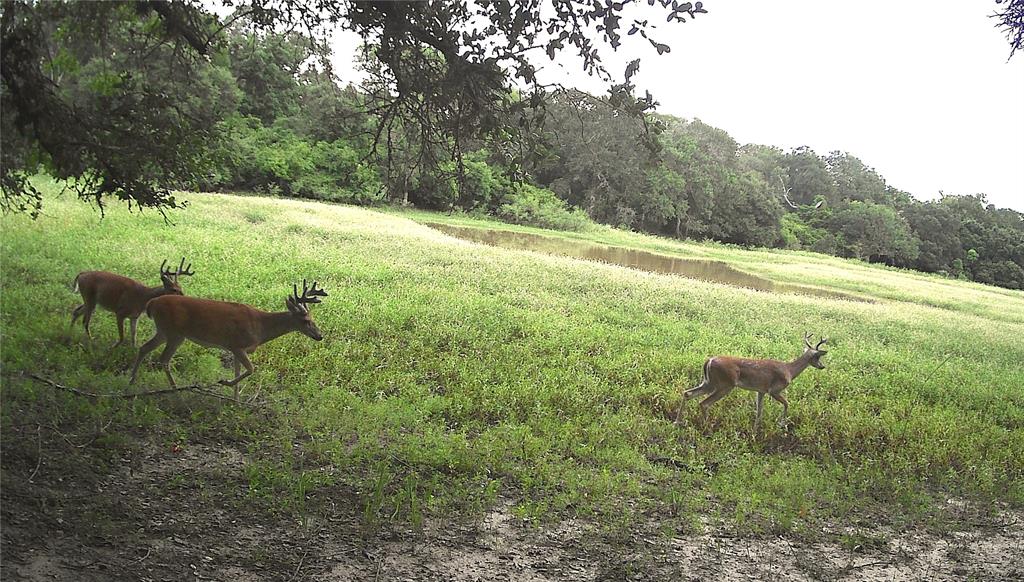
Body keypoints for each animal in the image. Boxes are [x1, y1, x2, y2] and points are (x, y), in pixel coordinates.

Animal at [128, 278, 327, 397]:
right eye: (306, 320)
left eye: (313, 318)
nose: (320, 336)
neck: (261, 327)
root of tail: (152, 303)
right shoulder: (236, 345)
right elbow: (251, 369)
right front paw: (224, 382)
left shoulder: (238, 349)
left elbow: (239, 372)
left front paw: (236, 399)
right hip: (174, 332)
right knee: (163, 358)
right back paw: (174, 389)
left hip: (163, 331)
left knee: (144, 348)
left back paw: (132, 380)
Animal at [675, 331, 827, 432]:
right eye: (817, 357)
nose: (822, 366)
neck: (789, 370)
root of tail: (709, 360)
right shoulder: (774, 390)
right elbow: (786, 404)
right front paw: (782, 424)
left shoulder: (761, 391)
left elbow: (759, 411)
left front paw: (755, 432)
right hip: (725, 384)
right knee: (704, 403)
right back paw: (707, 428)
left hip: (709, 382)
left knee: (687, 393)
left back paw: (678, 421)